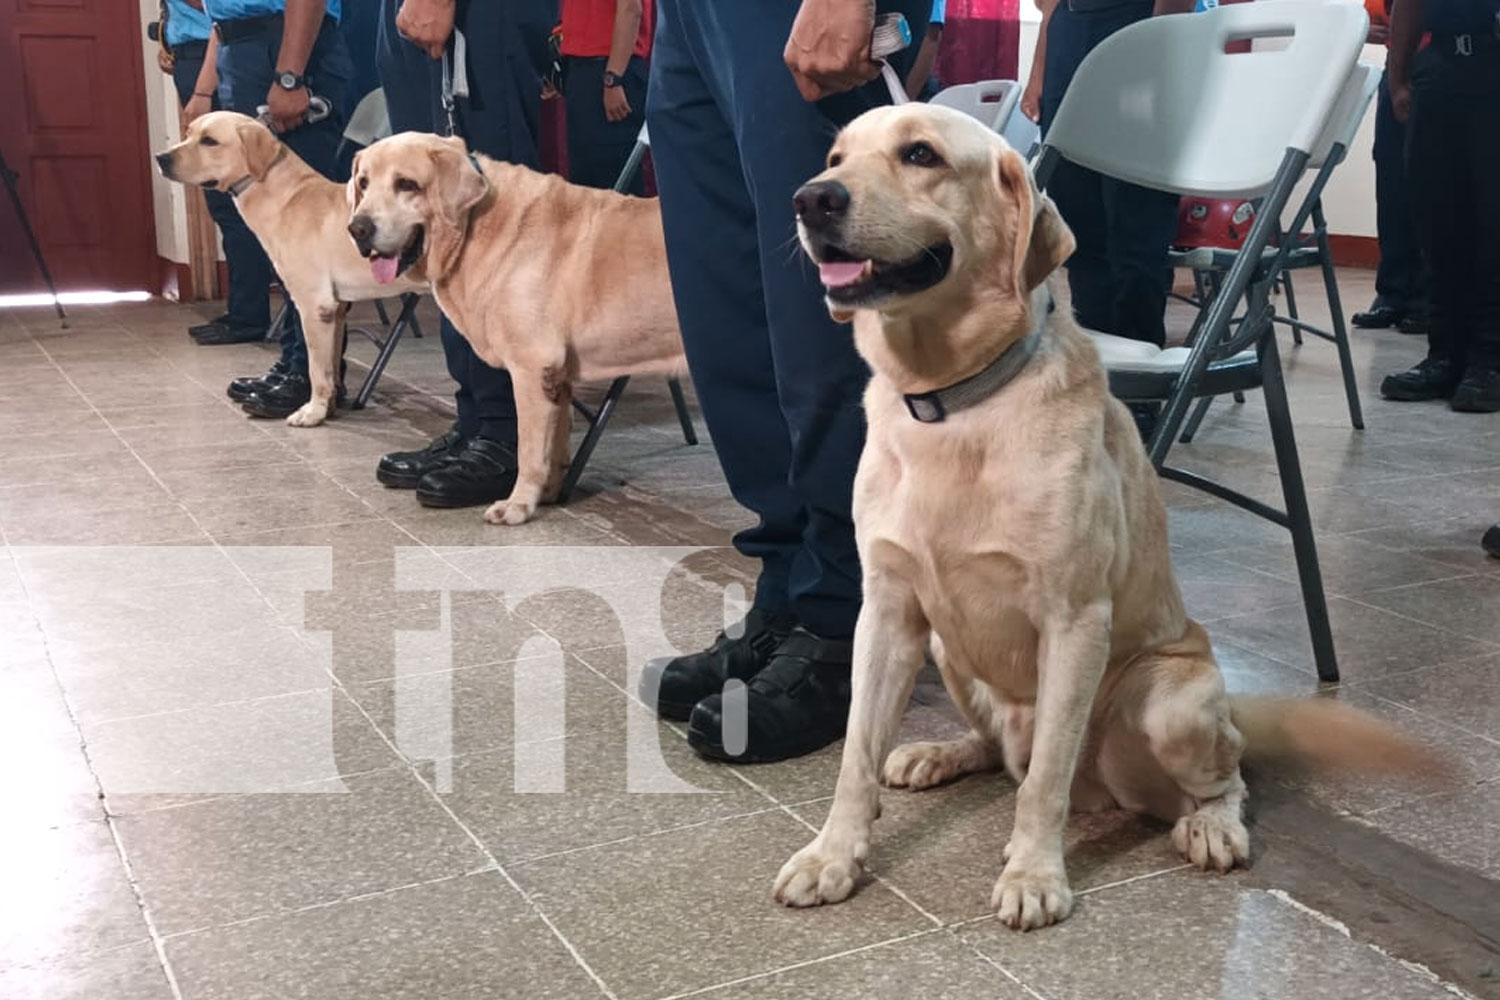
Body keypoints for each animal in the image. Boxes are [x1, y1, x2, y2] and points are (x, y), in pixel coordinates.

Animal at [774, 105, 1440, 935]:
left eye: (920, 155)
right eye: (836, 157)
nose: (810, 199)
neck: (955, 400)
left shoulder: (1073, 620)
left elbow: (1045, 783)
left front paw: (1034, 872)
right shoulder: (888, 612)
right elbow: (856, 757)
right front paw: (832, 855)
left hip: (1169, 706)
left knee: (1215, 779)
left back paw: (1211, 825)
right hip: (949, 650)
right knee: (998, 751)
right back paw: (942, 754)